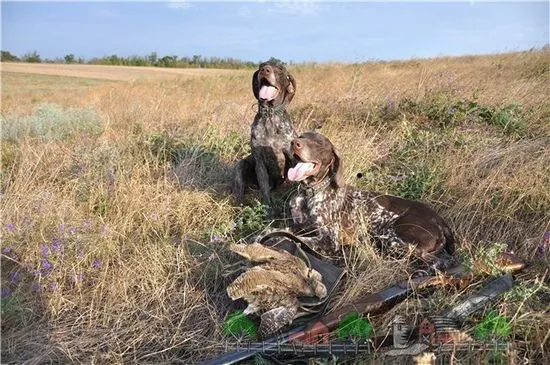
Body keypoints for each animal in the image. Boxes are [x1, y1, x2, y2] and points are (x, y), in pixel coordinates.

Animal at [233, 58, 298, 206]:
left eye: (280, 69)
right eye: (261, 66)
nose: (265, 70)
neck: (269, 115)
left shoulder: (292, 158)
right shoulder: (260, 163)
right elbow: (265, 190)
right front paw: (268, 208)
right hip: (240, 166)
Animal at [284, 131, 458, 268]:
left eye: (319, 143)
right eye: (300, 136)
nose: (294, 143)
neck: (308, 194)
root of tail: (441, 221)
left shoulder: (330, 240)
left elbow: (297, 239)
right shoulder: (301, 226)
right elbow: (286, 230)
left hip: (392, 239)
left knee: (437, 261)